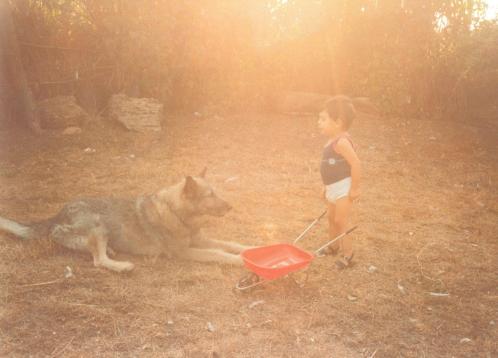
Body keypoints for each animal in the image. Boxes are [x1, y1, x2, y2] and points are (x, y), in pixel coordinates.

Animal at [0, 169, 251, 272]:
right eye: (210, 195)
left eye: (216, 193)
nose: (231, 206)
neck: (177, 213)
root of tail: (58, 213)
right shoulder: (185, 251)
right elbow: (219, 254)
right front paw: (239, 260)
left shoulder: (200, 240)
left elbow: (230, 244)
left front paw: (250, 248)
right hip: (98, 224)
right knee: (98, 260)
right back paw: (122, 266)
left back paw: (111, 251)